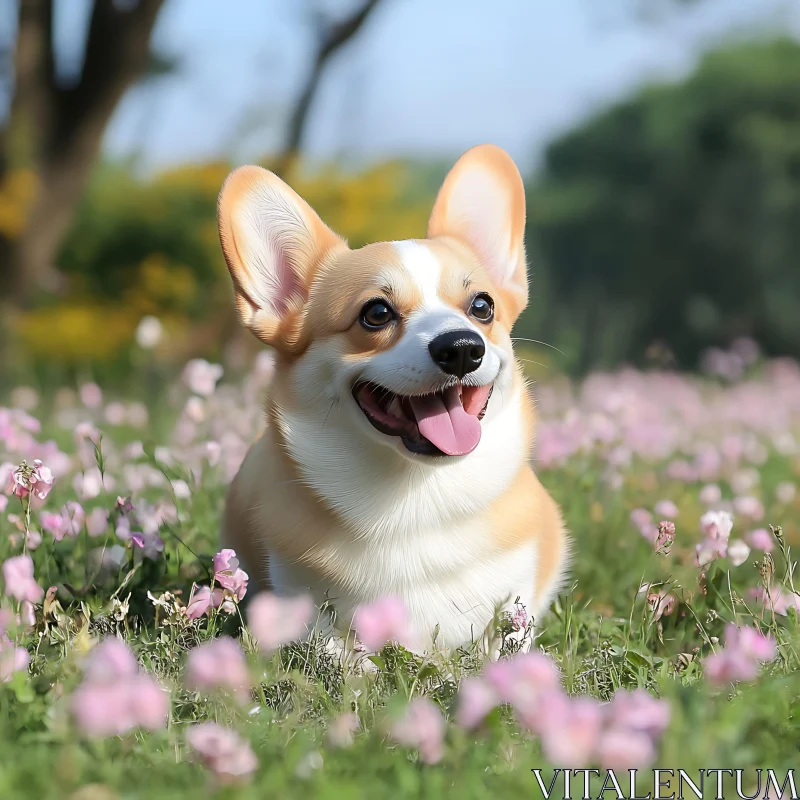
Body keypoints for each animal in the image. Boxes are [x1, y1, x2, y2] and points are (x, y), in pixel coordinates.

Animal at [219, 145, 564, 656]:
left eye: (482, 307)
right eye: (376, 313)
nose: (462, 348)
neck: (417, 498)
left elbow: (507, 638)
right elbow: (338, 650)